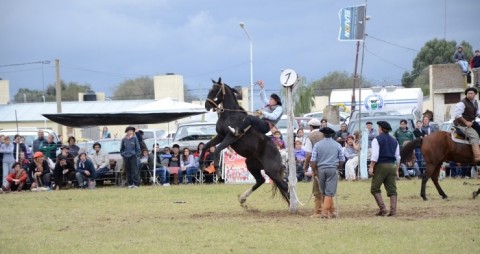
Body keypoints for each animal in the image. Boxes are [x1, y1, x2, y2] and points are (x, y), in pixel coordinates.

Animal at [199, 78, 288, 206]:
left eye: (215, 90)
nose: (206, 105)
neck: (230, 114)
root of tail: (279, 154)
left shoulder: (230, 137)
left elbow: (217, 149)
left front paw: (217, 169)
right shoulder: (220, 136)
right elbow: (206, 146)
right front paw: (201, 164)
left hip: (272, 171)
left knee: (285, 186)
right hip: (251, 164)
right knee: (261, 180)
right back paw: (243, 198)